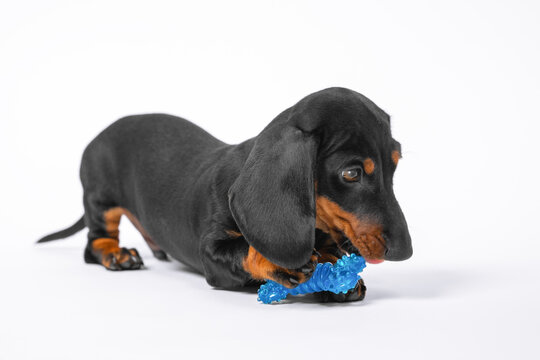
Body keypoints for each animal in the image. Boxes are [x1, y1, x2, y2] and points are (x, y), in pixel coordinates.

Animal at [38, 88, 412, 302]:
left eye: (396, 164)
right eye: (351, 173)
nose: (405, 252)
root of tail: (101, 132)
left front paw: (338, 270)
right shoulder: (212, 255)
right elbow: (245, 250)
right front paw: (279, 262)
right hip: (100, 200)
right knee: (94, 243)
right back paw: (117, 254)